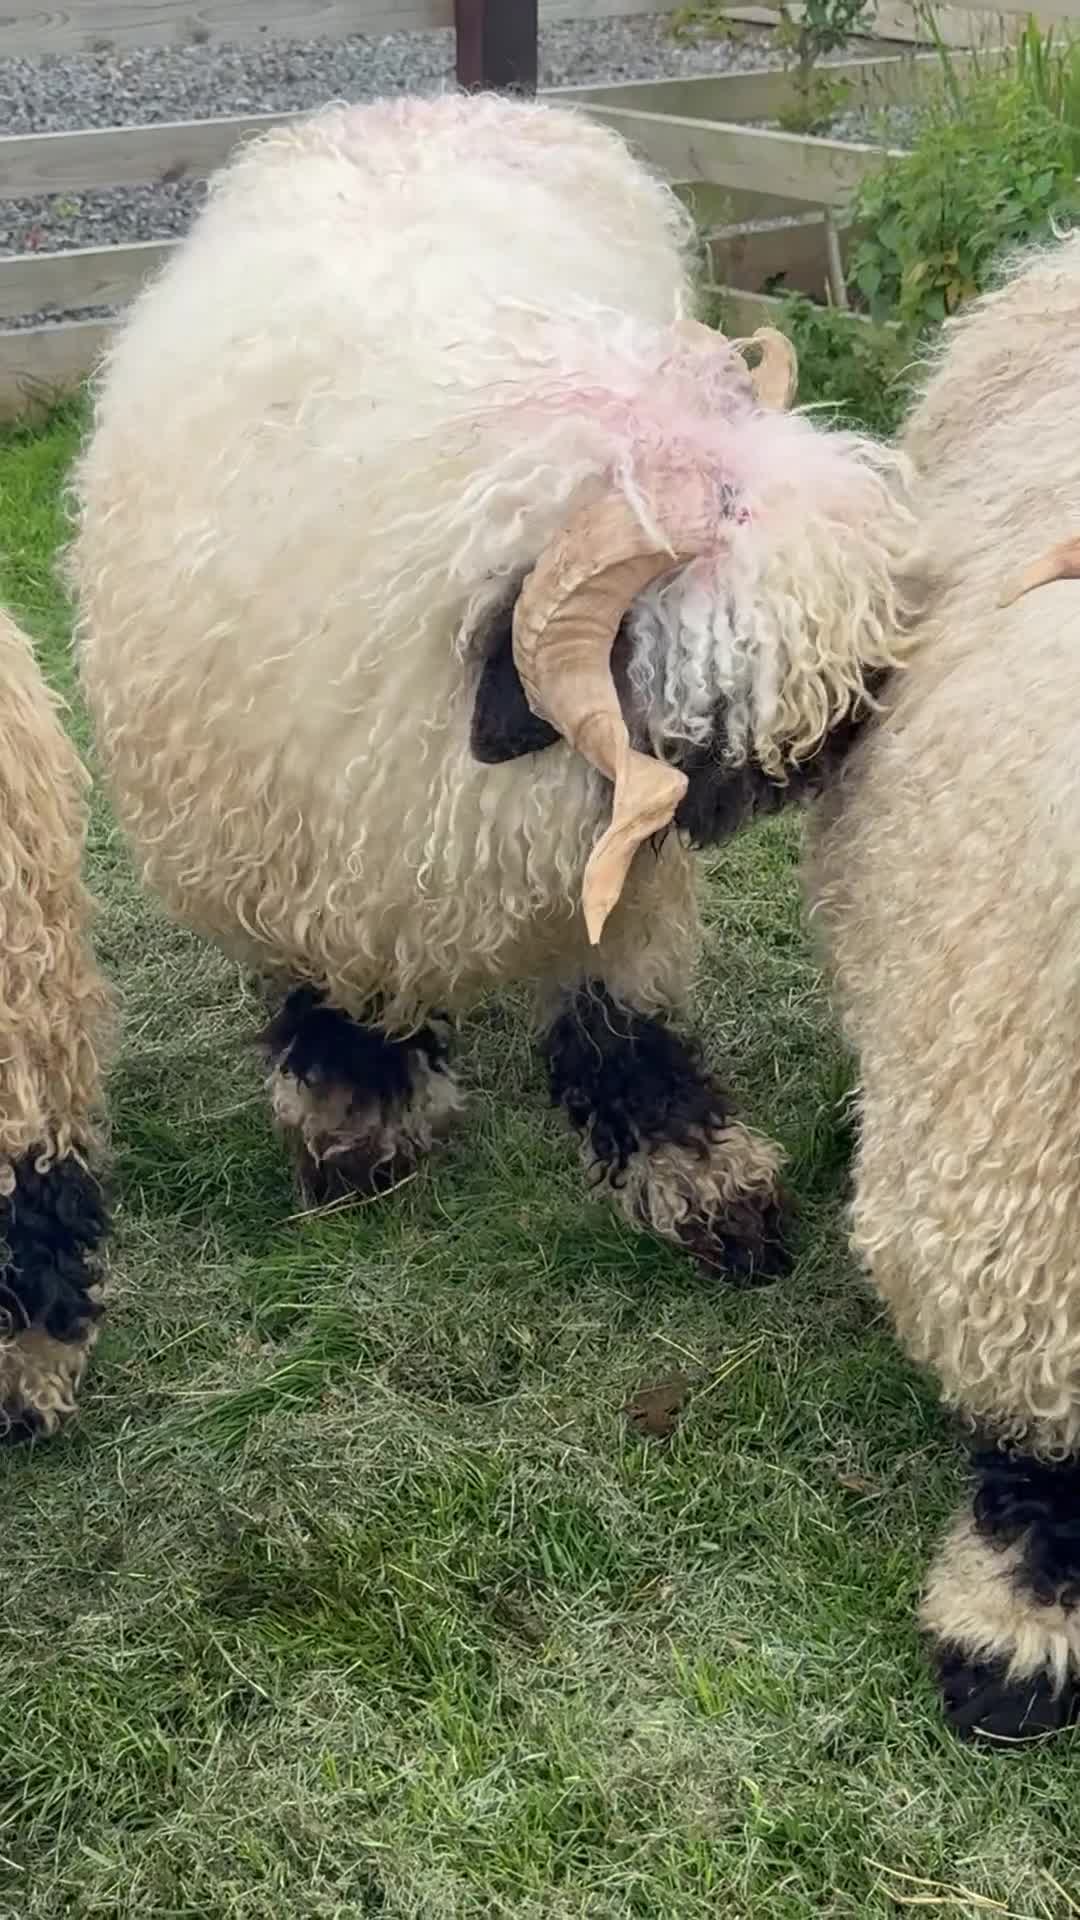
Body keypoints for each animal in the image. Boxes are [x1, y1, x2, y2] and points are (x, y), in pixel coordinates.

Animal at [70, 90, 912, 1281]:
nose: (870, 702)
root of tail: (429, 101)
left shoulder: (608, 864)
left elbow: (619, 1016)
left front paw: (698, 1177)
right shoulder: (291, 849)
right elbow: (330, 995)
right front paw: (356, 1123)